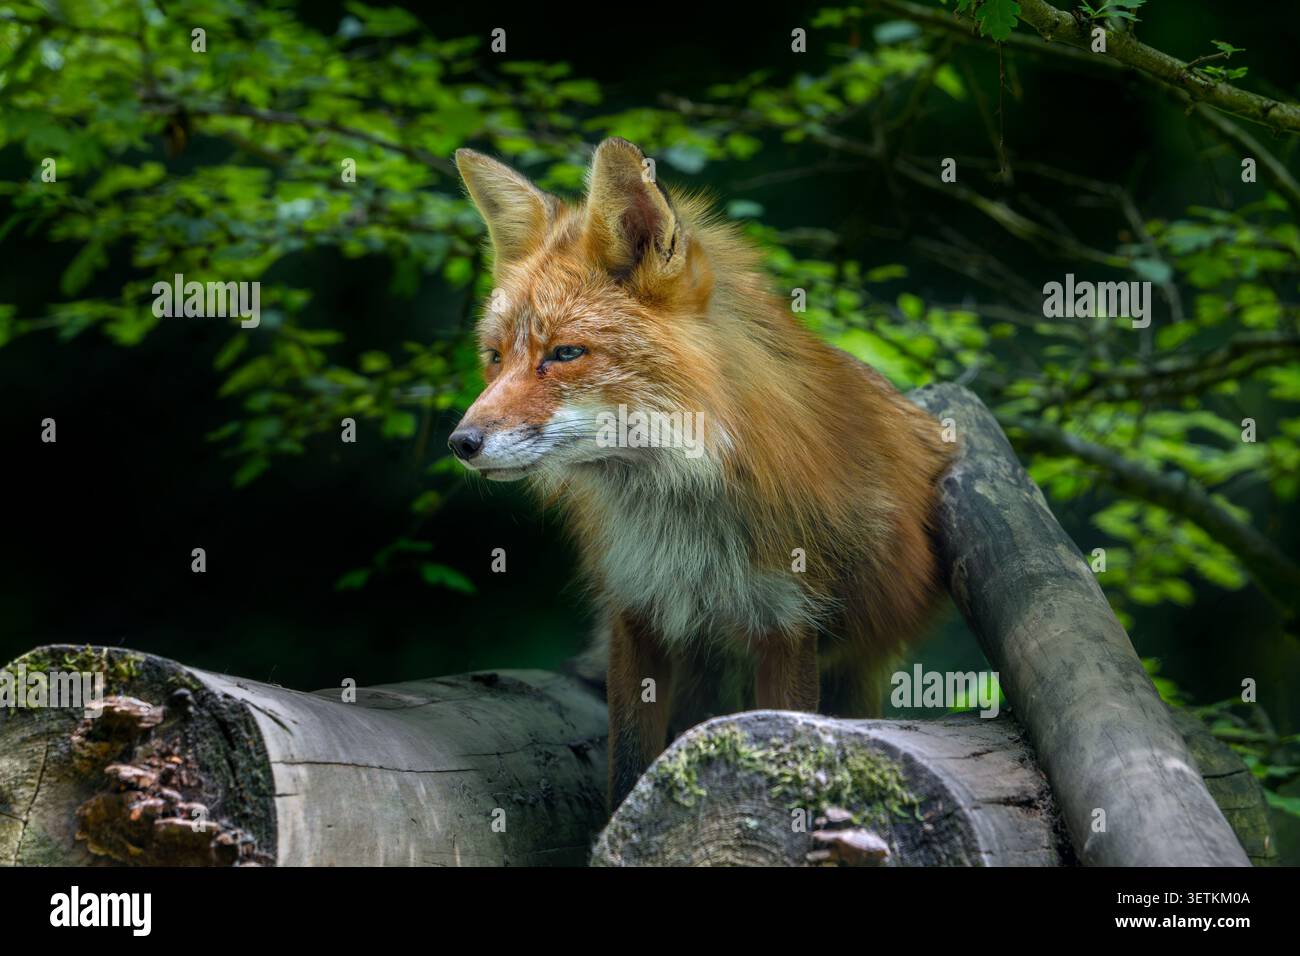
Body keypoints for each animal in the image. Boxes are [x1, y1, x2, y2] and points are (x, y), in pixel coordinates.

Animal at [449, 137, 956, 809]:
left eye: (565, 353)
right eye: (495, 357)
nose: (461, 443)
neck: (685, 516)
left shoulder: (789, 624)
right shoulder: (637, 614)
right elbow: (629, 767)